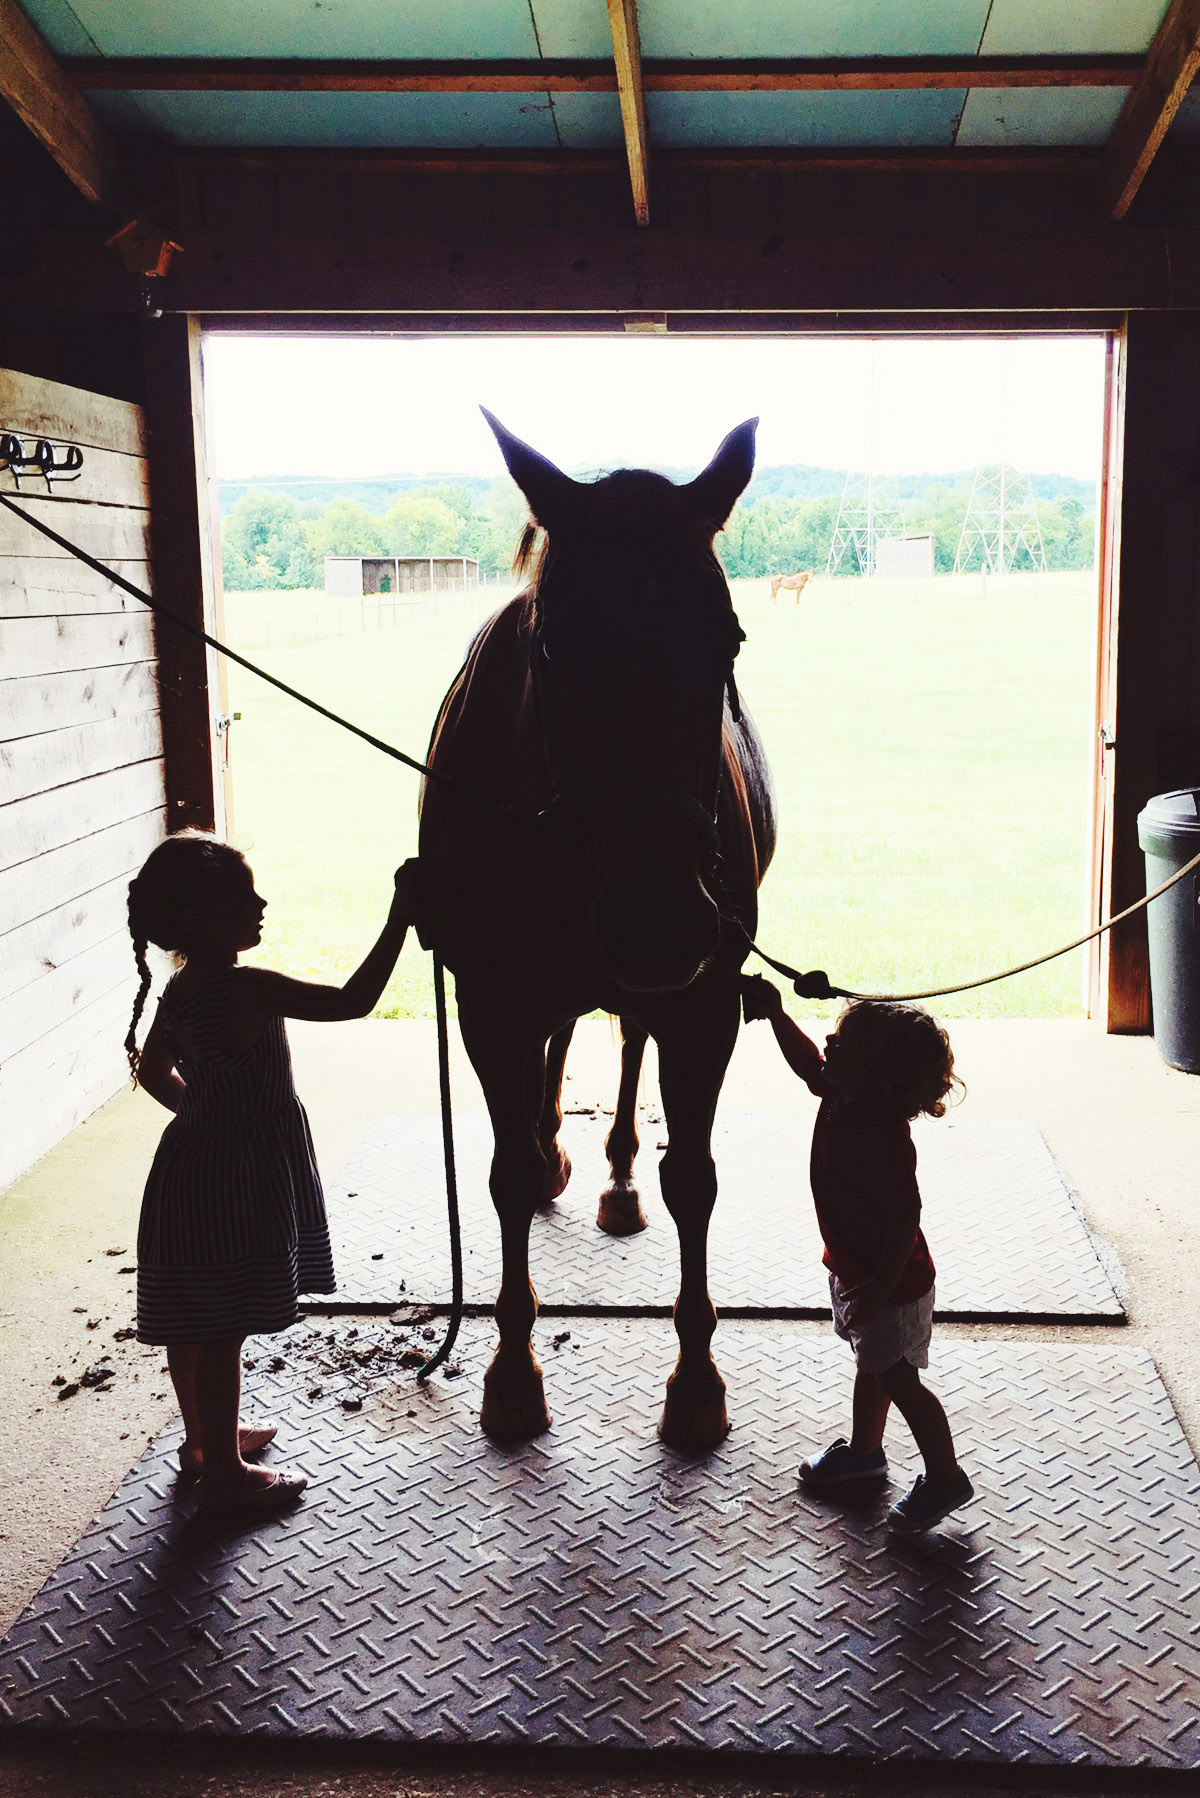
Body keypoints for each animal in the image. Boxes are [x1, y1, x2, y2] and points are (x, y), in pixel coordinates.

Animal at [420, 413, 780, 1452]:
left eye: (726, 638)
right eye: (555, 651)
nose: (655, 918)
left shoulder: (703, 1003)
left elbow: (693, 1178)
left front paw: (696, 1382)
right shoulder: (489, 1001)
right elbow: (502, 1176)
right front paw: (511, 1371)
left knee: (621, 1041)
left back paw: (616, 1174)